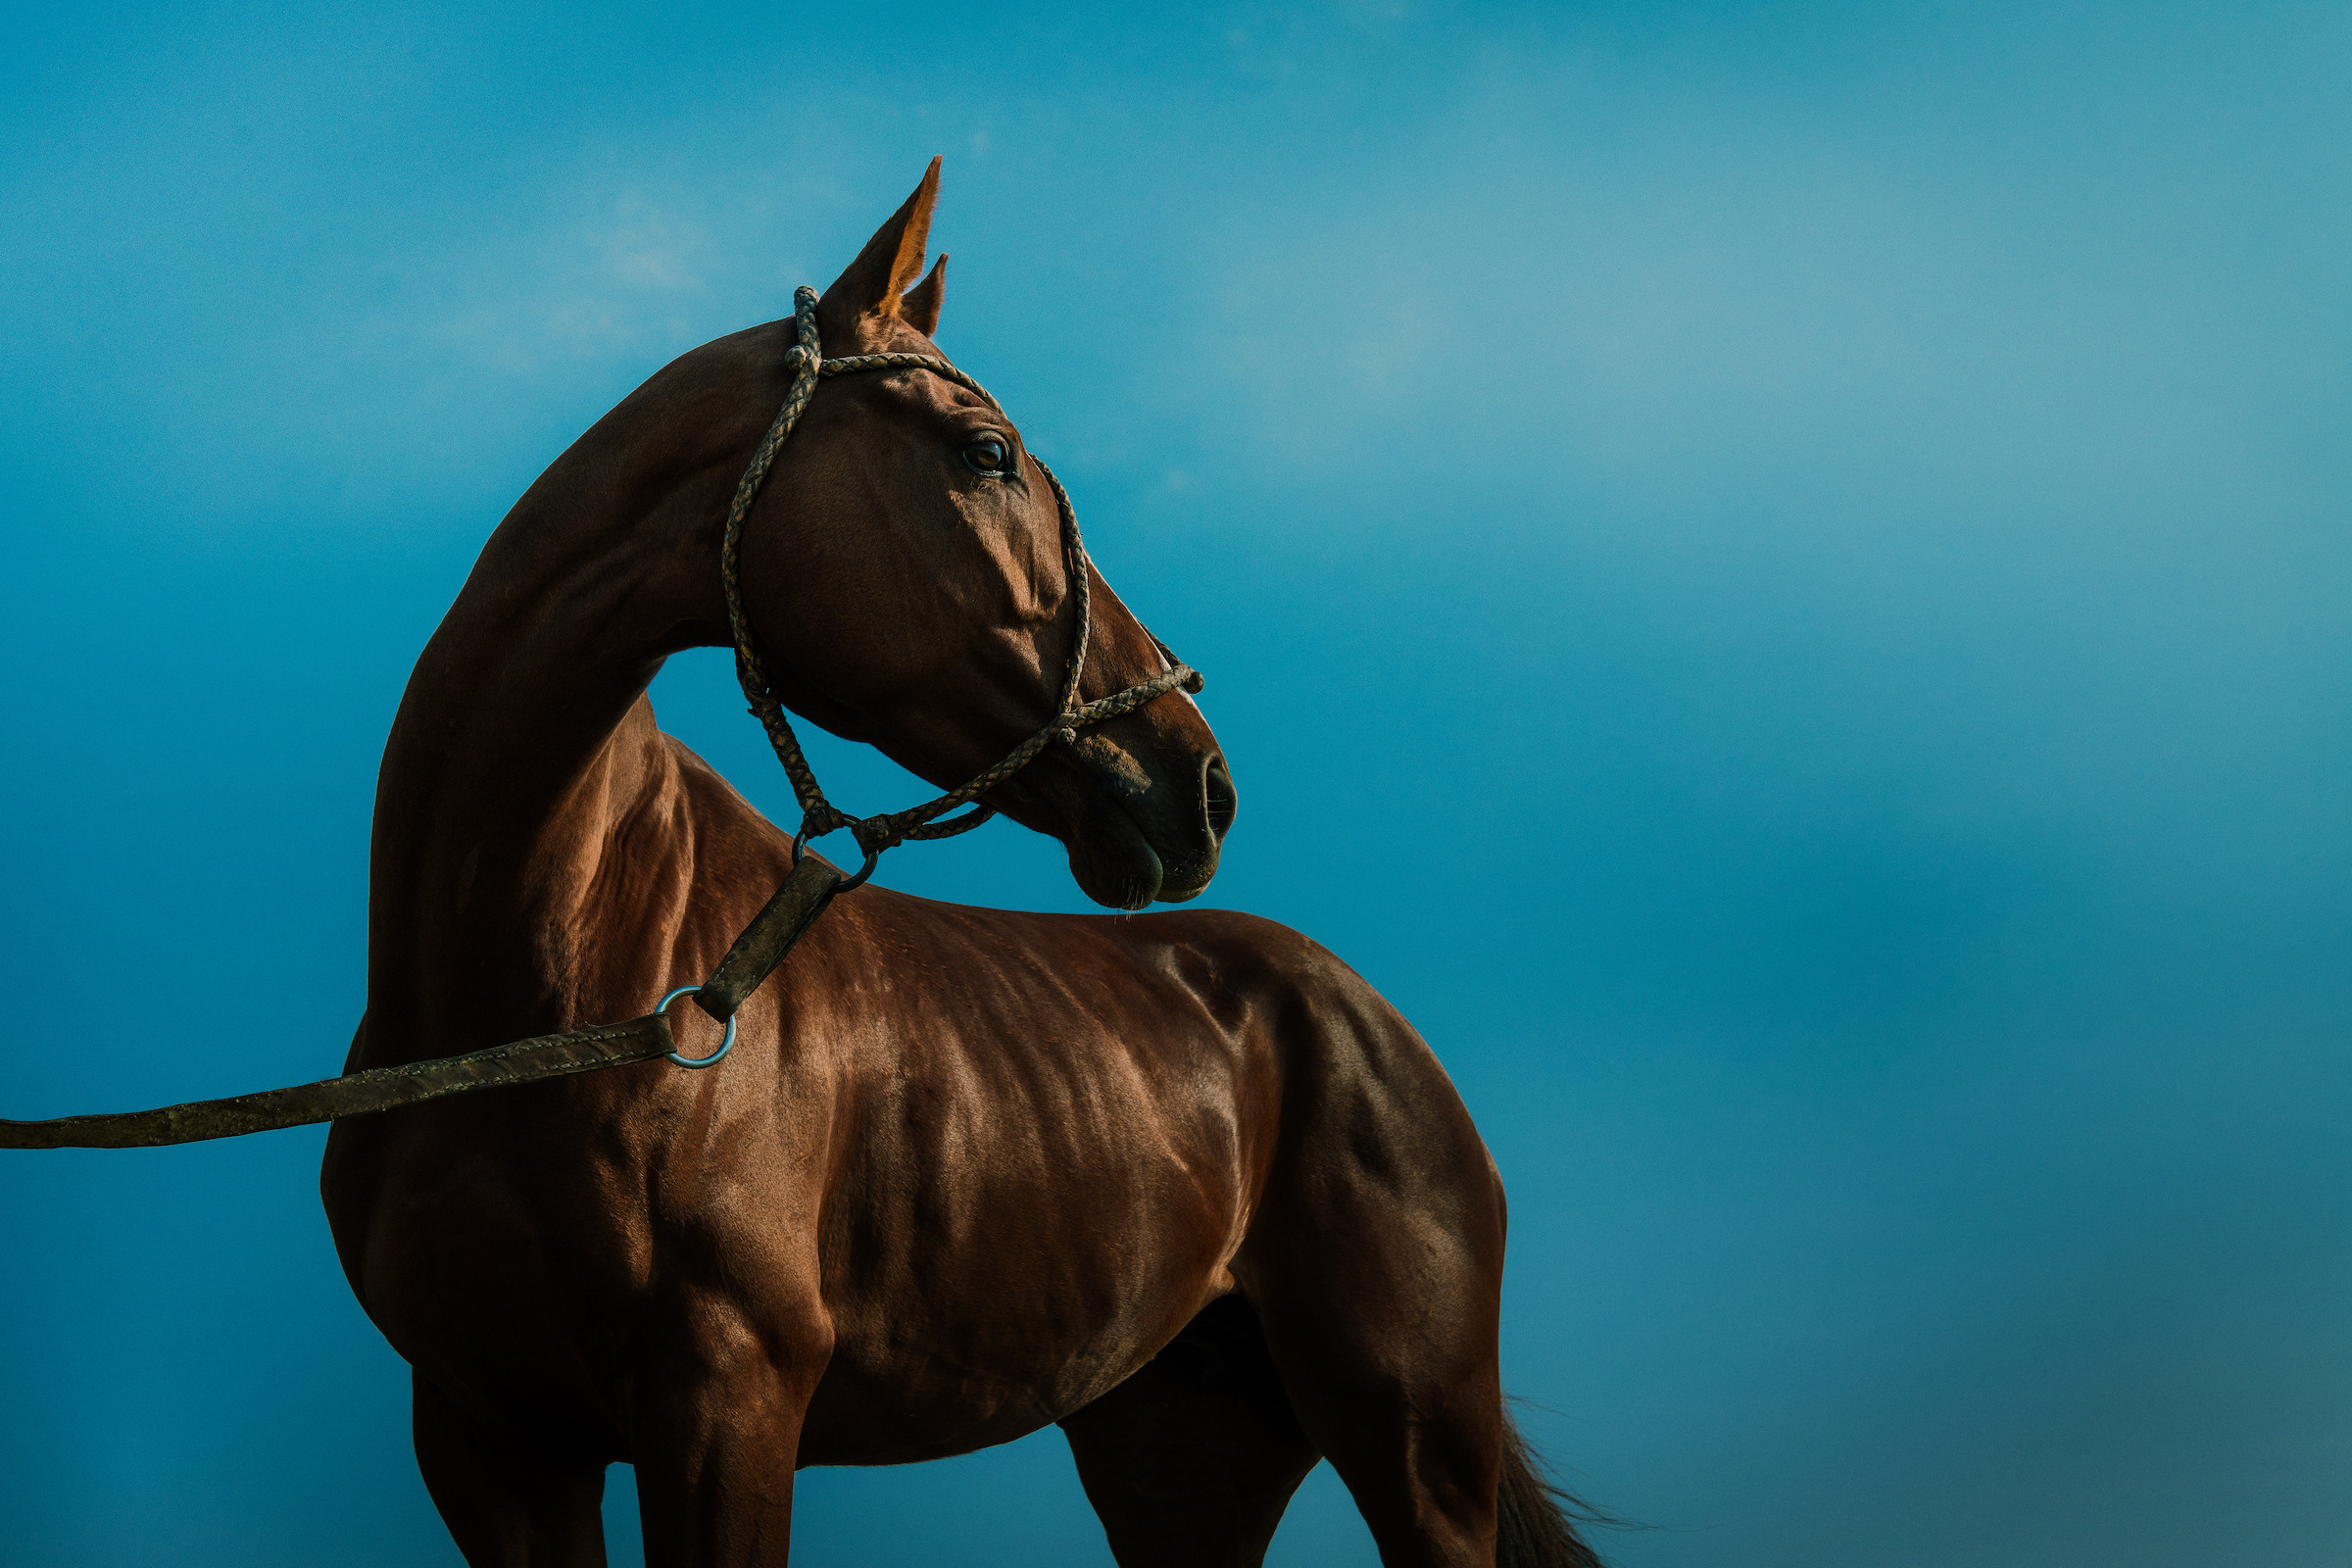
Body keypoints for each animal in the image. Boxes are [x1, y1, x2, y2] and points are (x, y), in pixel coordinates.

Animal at [318, 159, 1603, 1568]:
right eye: (986, 454)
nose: (1203, 786)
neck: (533, 991)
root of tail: (1361, 1017)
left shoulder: (725, 1404)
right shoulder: (495, 1446)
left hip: (1418, 1441)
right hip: (1183, 1461)